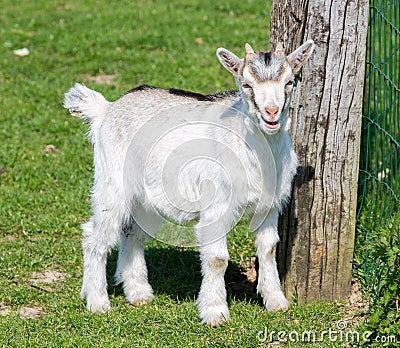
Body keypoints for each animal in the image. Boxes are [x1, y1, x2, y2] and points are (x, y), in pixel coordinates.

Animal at [64, 39, 314, 324]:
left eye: (290, 82)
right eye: (246, 84)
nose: (271, 113)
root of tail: (106, 109)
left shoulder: (269, 205)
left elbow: (269, 248)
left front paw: (275, 301)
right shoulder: (217, 205)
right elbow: (217, 258)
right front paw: (215, 312)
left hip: (148, 197)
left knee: (133, 233)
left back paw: (139, 293)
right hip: (112, 182)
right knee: (94, 236)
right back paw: (97, 301)